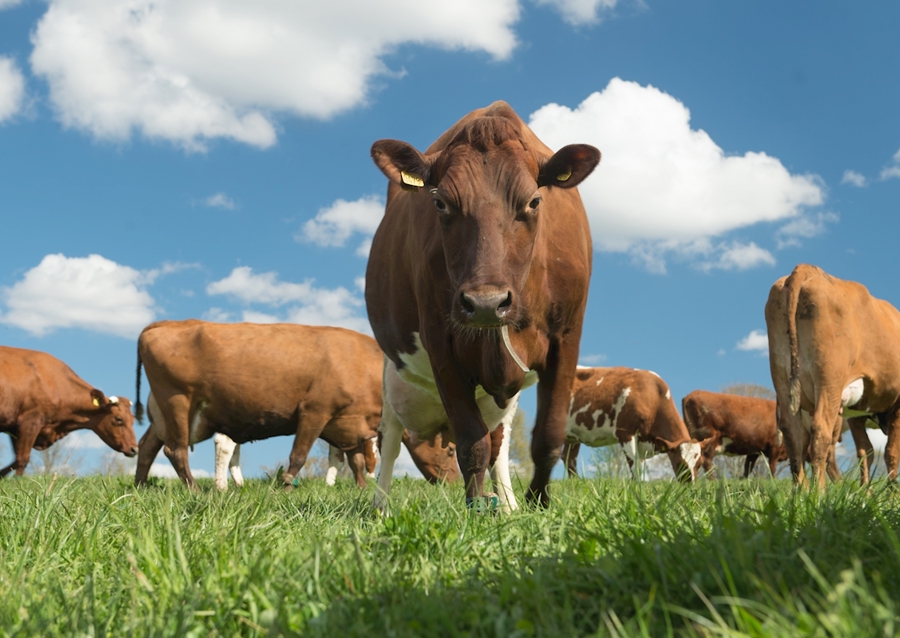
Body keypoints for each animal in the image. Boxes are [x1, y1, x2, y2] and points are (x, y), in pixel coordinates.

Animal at [0, 345, 138, 477]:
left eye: (133, 420)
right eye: (119, 419)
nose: (135, 449)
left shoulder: (14, 428)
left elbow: (15, 460)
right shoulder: (30, 422)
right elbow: (22, 459)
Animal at [133, 320, 383, 490]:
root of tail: (167, 323)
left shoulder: (349, 425)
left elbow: (355, 460)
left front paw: (361, 488)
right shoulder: (315, 410)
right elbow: (299, 455)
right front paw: (285, 488)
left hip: (164, 413)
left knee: (147, 447)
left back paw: (140, 488)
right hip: (177, 402)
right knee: (176, 450)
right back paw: (195, 491)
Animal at [366, 101, 600, 510]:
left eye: (534, 201)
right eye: (440, 202)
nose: (486, 303)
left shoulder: (566, 340)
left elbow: (547, 437)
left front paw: (536, 503)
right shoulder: (440, 342)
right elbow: (470, 443)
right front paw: (475, 509)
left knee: (499, 446)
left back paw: (506, 504)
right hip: (392, 378)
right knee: (390, 442)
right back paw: (379, 507)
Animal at [560, 367, 701, 481]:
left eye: (699, 464)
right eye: (680, 463)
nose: (690, 485)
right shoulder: (625, 433)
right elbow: (635, 469)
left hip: (573, 437)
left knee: (568, 458)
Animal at [766, 264, 900, 489]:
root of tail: (808, 269)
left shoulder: (856, 411)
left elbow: (866, 452)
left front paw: (866, 492)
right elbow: (890, 452)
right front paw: (890, 492)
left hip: (783, 380)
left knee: (794, 437)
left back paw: (800, 491)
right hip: (829, 379)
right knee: (820, 435)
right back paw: (818, 492)